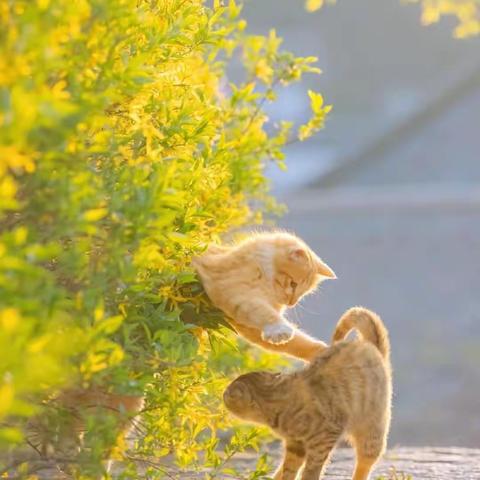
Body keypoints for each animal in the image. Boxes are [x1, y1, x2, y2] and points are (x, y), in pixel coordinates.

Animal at [193, 231, 336, 358]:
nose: (291, 303)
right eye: (293, 284)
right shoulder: (233, 290)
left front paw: (321, 352)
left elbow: (297, 343)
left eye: (303, 293)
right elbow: (264, 312)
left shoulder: (248, 325)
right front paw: (281, 330)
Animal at [223, 308, 392, 480]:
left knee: (365, 463)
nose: (223, 393)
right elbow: (289, 469)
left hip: (372, 433)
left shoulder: (324, 439)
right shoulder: (295, 445)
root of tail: (370, 345)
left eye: (226, 396)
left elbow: (312, 468)